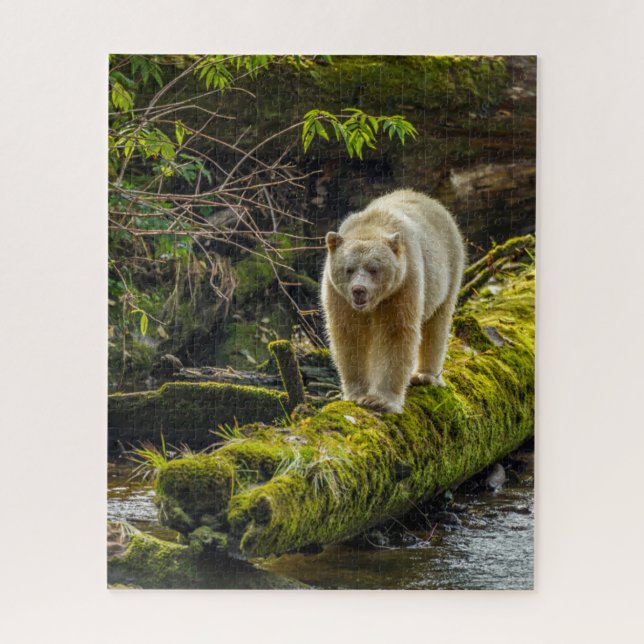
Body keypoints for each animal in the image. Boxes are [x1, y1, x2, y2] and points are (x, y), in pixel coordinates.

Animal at [321, 189, 465, 414]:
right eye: (349, 268)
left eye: (374, 269)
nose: (359, 290)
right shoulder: (338, 296)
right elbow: (349, 336)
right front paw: (357, 393)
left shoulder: (402, 286)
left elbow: (396, 333)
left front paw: (380, 400)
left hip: (446, 272)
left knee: (437, 325)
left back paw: (425, 375)